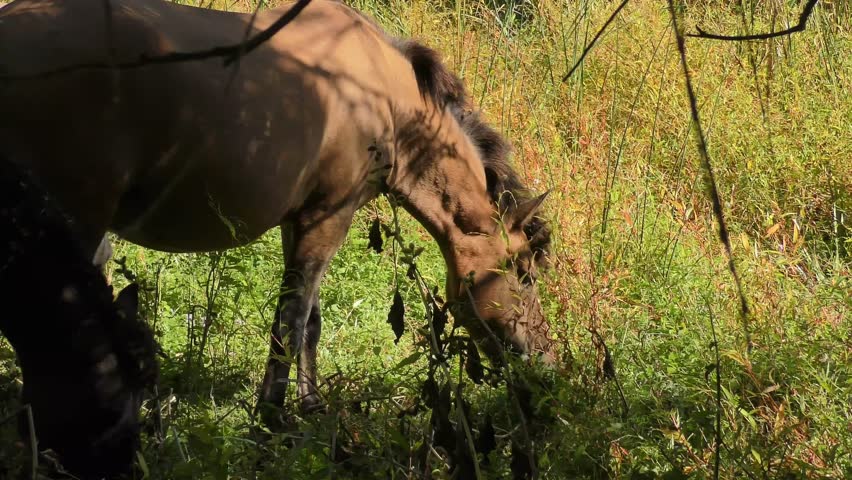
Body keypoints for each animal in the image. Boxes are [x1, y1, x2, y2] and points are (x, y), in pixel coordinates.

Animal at [0, 0, 555, 424]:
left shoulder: (300, 219)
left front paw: (309, 407)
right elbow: (292, 317)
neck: (383, 95)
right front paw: (271, 417)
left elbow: (309, 320)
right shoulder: (329, 216)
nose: (545, 359)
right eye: (525, 273)